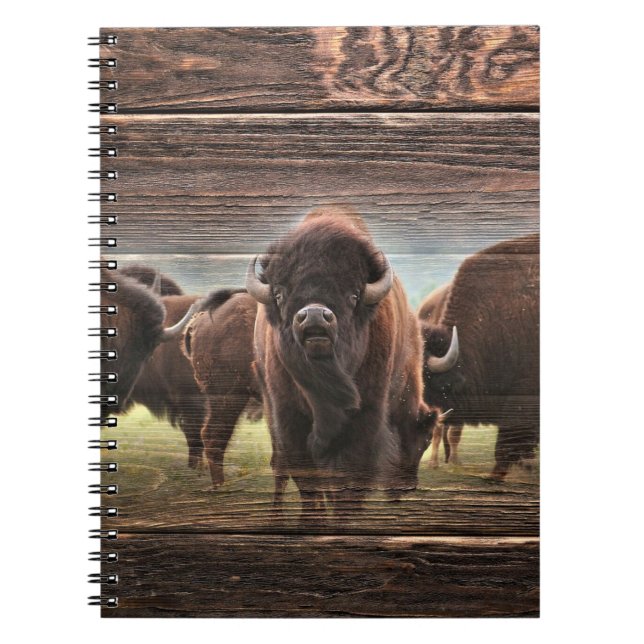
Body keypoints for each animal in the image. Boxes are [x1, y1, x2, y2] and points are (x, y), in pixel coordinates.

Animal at [247, 207, 436, 514]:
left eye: (353, 294)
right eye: (279, 293)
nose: (314, 316)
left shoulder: (365, 416)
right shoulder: (289, 417)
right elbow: (307, 478)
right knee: (281, 467)